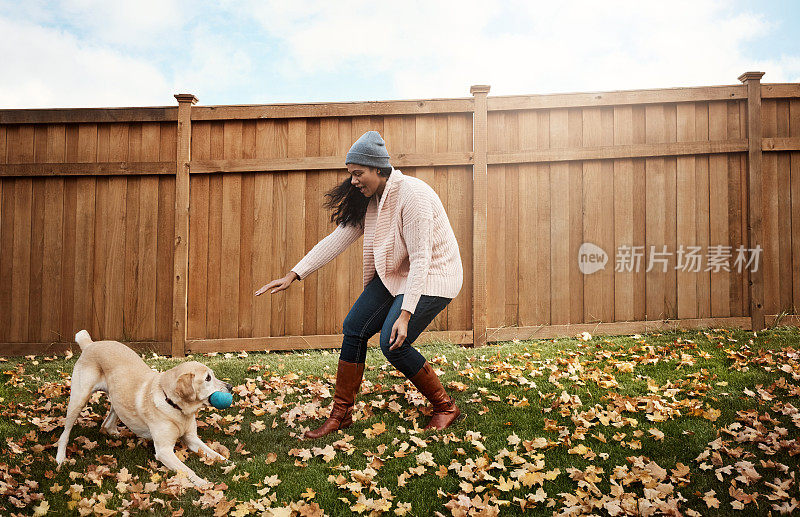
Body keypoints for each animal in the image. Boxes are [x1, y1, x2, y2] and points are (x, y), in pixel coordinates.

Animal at [55, 328, 231, 486]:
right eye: (208, 378)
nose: (230, 387)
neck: (175, 407)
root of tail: (90, 344)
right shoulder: (164, 450)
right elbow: (187, 470)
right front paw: (203, 483)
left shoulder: (192, 438)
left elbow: (213, 453)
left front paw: (228, 463)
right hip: (79, 399)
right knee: (65, 433)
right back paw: (60, 458)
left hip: (118, 397)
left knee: (107, 423)